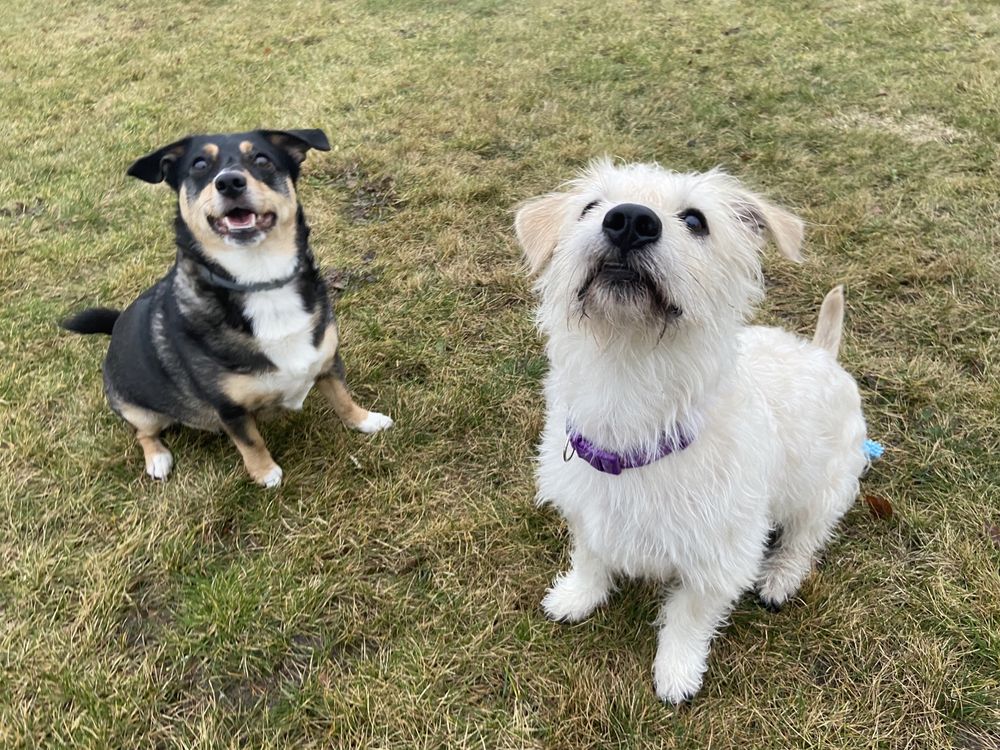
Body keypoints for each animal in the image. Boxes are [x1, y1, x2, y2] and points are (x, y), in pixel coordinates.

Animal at [62, 129, 394, 488]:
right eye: (199, 164)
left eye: (262, 159)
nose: (230, 182)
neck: (261, 281)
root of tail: (116, 325)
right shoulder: (229, 409)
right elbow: (251, 442)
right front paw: (266, 474)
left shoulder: (328, 362)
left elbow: (343, 399)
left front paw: (366, 420)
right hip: (137, 408)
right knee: (142, 433)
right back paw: (158, 459)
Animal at [516, 160, 868, 704]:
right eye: (591, 206)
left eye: (696, 220)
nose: (629, 221)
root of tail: (821, 354)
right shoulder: (586, 512)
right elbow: (591, 558)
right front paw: (576, 597)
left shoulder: (721, 560)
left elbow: (688, 617)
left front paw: (676, 673)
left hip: (824, 490)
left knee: (805, 538)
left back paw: (780, 578)